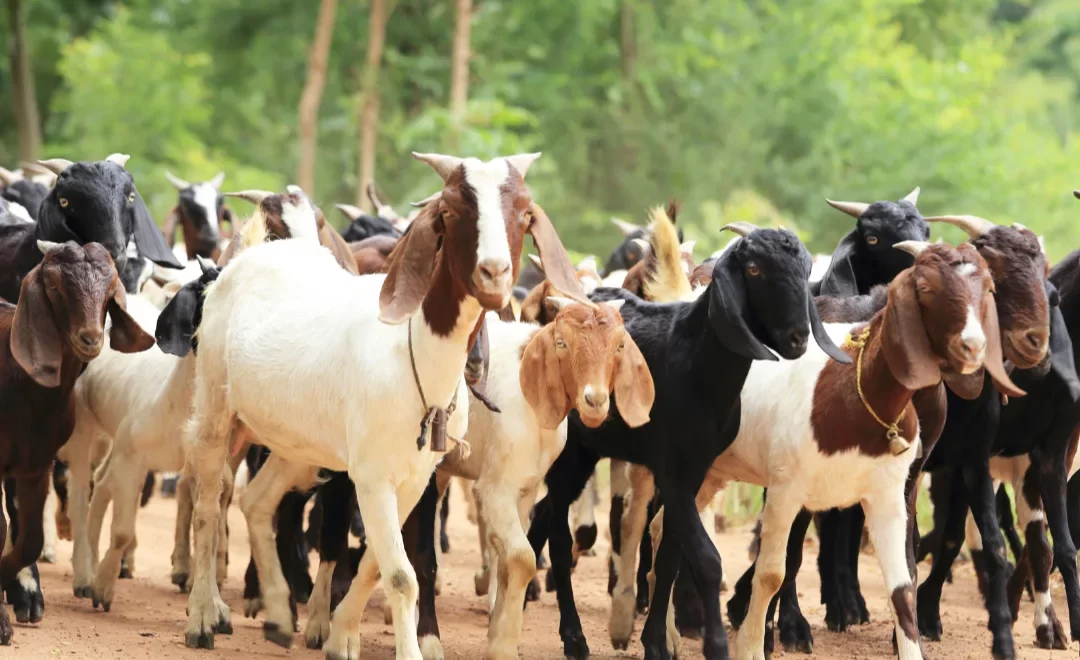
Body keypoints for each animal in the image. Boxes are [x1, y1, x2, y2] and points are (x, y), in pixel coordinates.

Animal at [183, 152, 591, 656]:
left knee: (257, 501)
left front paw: (340, 634)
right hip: (215, 406)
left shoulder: (415, 479)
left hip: (298, 443)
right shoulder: (373, 477)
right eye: (450, 209)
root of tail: (250, 256)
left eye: (524, 213)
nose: (494, 273)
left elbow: (377, 561)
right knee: (208, 502)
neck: (413, 352)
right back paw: (204, 615)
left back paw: (278, 610)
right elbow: (400, 574)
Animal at [524, 222, 851, 660]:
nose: (798, 337)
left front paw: (656, 643)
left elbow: (670, 555)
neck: (696, 362)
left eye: (805, 269)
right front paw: (715, 644)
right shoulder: (673, 472)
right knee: (559, 536)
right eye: (753, 269)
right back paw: (574, 637)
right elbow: (706, 559)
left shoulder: (696, 469)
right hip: (570, 453)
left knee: (546, 516)